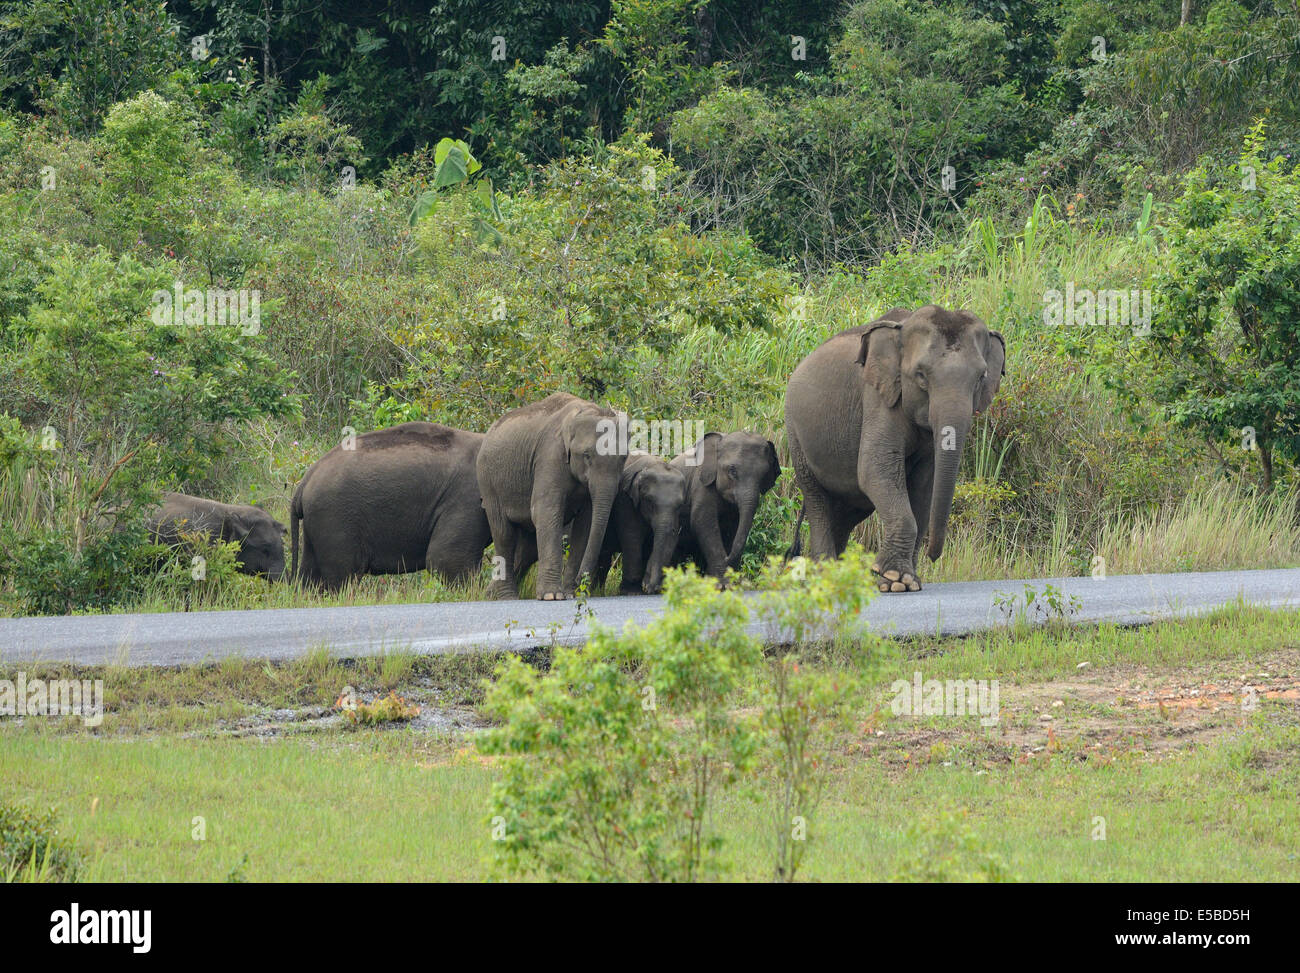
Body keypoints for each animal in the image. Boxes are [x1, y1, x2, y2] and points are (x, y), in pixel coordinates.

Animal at [290, 422, 491, 590]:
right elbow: (447, 559)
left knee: (311, 576)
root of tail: (305, 481)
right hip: (335, 518)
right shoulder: (467, 496)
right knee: (343, 576)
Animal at [476, 392, 627, 600]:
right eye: (587, 455)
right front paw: (552, 596)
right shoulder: (550, 455)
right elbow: (546, 511)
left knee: (526, 548)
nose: (580, 583)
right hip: (489, 483)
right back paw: (507, 597)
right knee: (504, 534)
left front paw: (570, 594)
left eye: (624, 458)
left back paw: (490, 594)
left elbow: (585, 524)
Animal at [669, 431, 781, 580]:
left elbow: (733, 528)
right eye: (732, 471)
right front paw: (721, 579)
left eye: (763, 475)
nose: (728, 558)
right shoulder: (702, 483)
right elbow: (703, 522)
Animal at [784, 304, 1006, 592]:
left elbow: (924, 486)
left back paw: (838, 575)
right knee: (818, 502)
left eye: (981, 377)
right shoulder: (878, 397)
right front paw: (895, 580)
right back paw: (826, 579)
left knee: (845, 513)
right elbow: (874, 469)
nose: (934, 557)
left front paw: (910, 580)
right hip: (796, 437)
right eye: (921, 375)